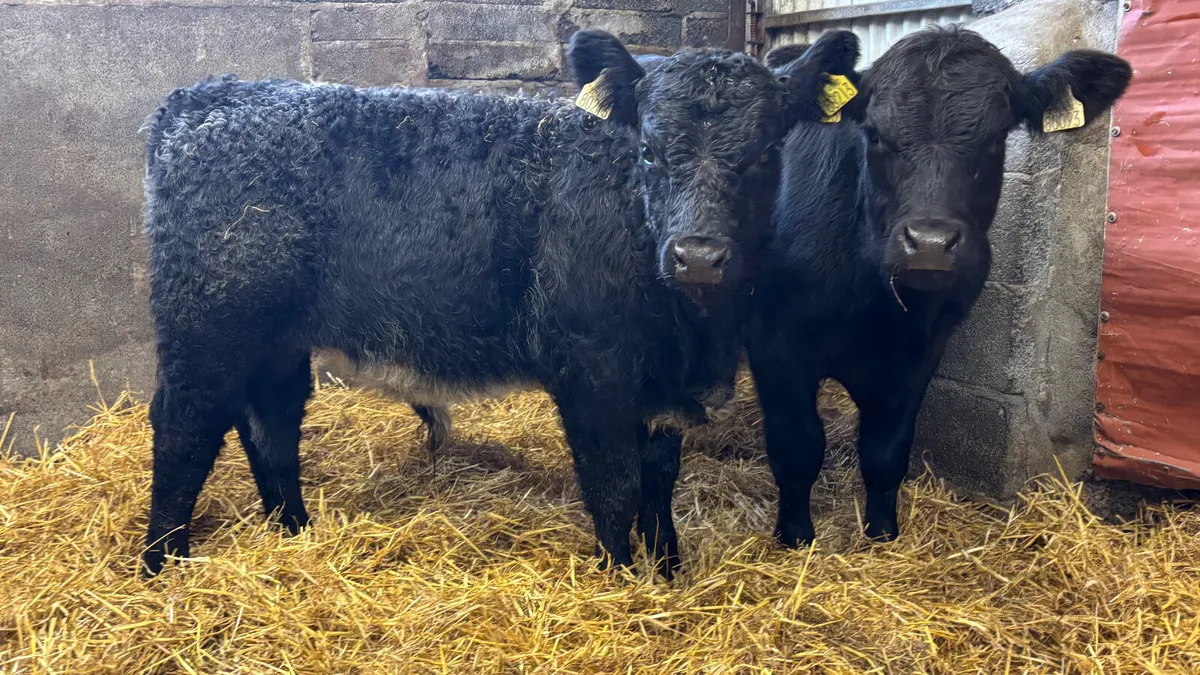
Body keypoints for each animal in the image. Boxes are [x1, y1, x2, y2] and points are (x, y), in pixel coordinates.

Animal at [138, 28, 861, 578]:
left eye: (767, 152)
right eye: (648, 151)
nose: (699, 255)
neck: (694, 331)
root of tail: (210, 94)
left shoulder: (660, 389)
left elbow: (659, 483)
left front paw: (669, 571)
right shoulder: (591, 373)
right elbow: (617, 485)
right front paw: (620, 581)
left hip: (275, 338)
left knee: (271, 422)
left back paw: (293, 530)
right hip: (207, 324)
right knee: (183, 427)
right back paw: (161, 563)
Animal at [747, 26, 1131, 550]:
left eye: (997, 137)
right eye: (874, 134)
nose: (929, 244)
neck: (872, 308)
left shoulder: (922, 351)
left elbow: (886, 450)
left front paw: (882, 533)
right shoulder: (775, 344)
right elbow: (798, 446)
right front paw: (796, 538)